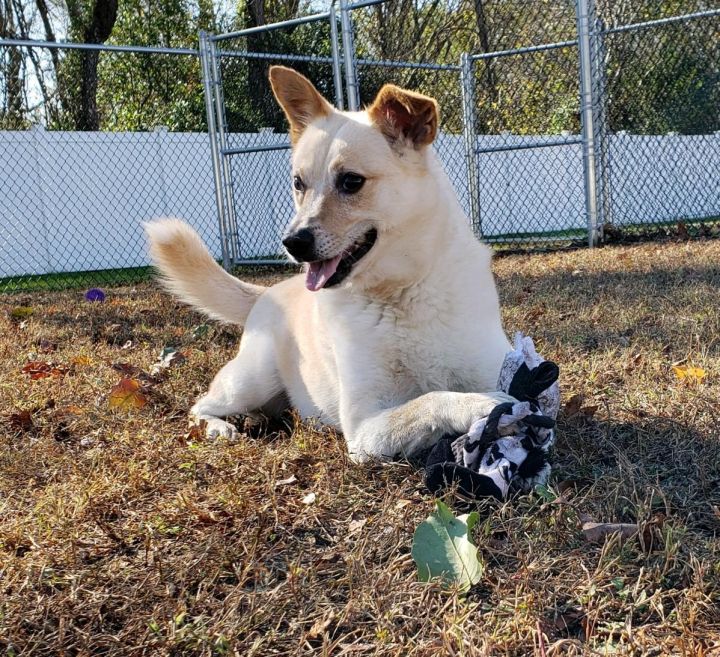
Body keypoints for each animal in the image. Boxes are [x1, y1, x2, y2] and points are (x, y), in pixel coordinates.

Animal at [145, 64, 512, 458]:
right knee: (202, 404)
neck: (403, 291)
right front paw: (482, 405)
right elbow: (432, 398)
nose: (292, 243)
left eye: (351, 181)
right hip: (252, 379)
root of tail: (268, 292)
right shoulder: (364, 427)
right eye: (298, 183)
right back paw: (218, 427)